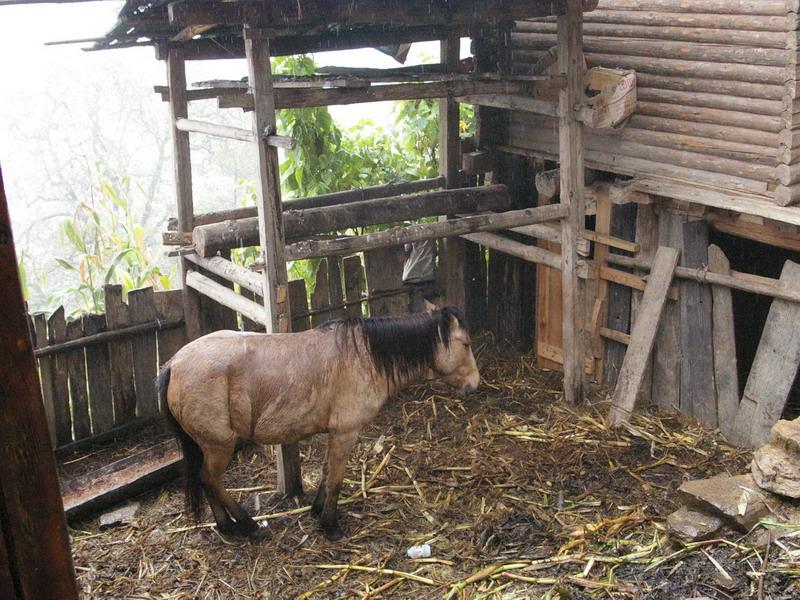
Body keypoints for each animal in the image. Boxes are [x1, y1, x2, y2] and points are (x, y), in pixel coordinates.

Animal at [159, 304, 478, 540]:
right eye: (465, 343)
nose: (474, 384)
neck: (362, 357)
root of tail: (173, 364)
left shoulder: (334, 434)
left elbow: (326, 473)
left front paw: (317, 510)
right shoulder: (345, 433)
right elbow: (335, 479)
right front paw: (330, 526)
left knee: (206, 481)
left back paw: (226, 526)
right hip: (219, 445)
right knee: (209, 479)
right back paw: (246, 524)